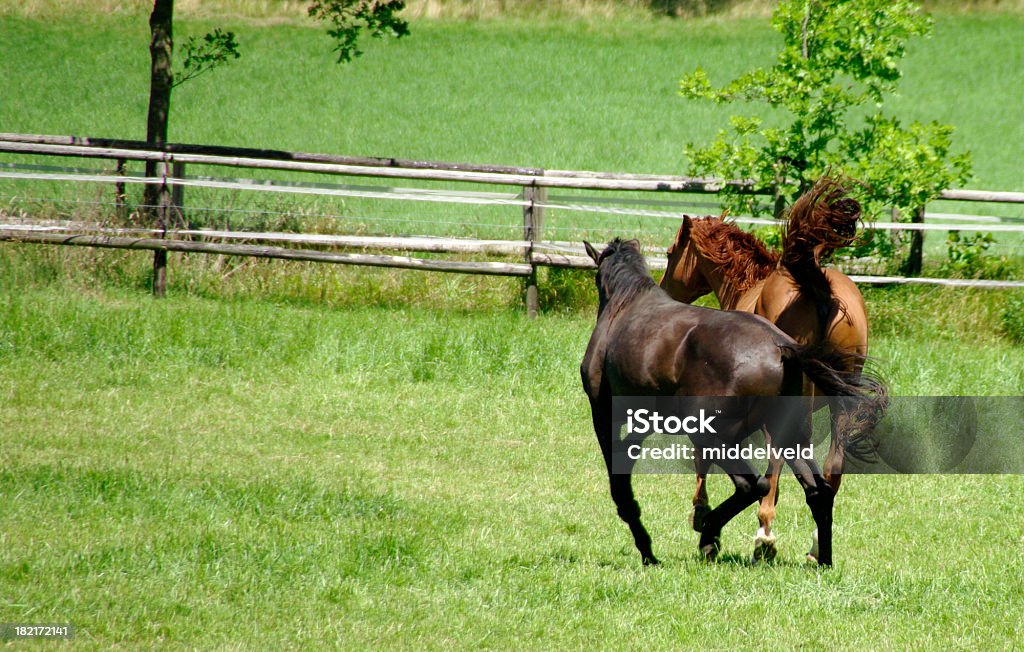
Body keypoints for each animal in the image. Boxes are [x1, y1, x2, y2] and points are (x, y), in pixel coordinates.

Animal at [581, 237, 884, 564]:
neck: (625, 306)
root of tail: (782, 347)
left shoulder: (604, 414)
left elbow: (620, 483)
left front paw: (648, 549)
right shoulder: (643, 422)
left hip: (716, 436)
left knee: (754, 484)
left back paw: (711, 534)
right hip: (791, 436)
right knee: (819, 490)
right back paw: (820, 558)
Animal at [659, 178, 868, 564]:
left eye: (669, 253)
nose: (664, 293)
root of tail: (820, 293)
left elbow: (706, 458)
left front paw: (701, 514)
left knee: (779, 464)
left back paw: (764, 536)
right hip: (841, 403)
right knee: (831, 471)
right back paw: (815, 547)